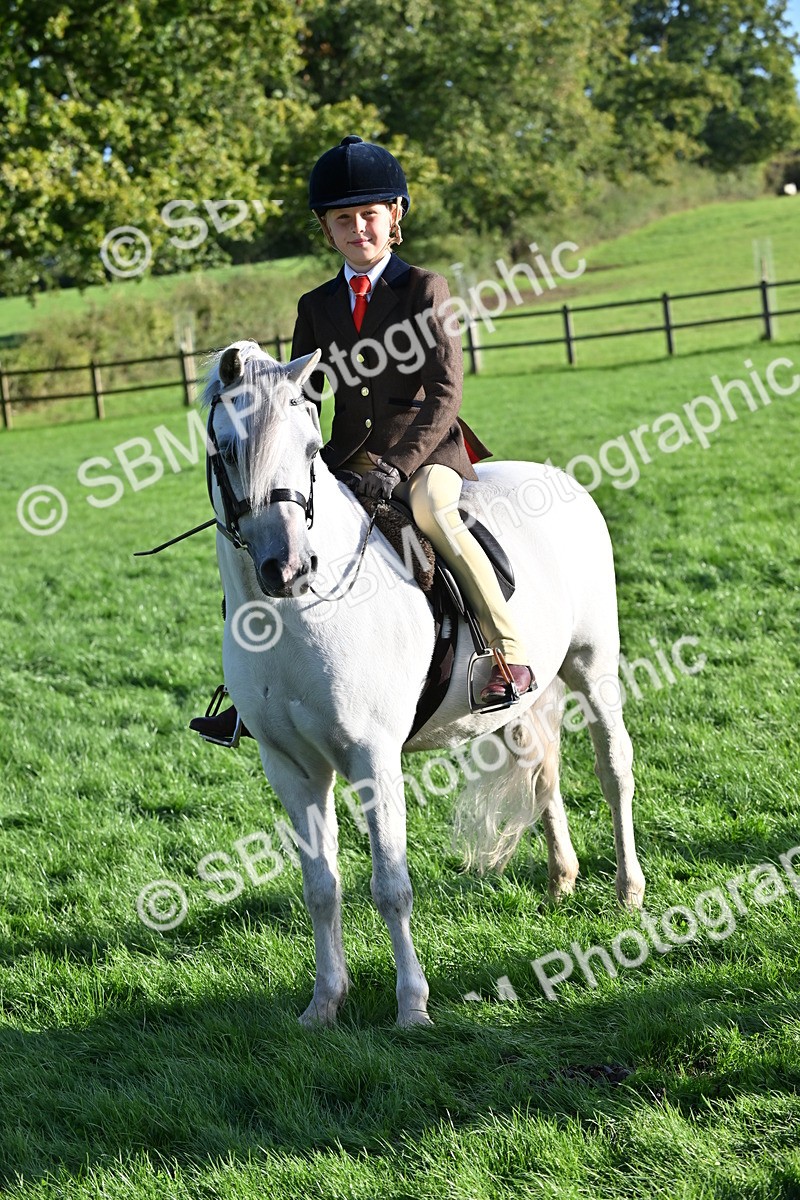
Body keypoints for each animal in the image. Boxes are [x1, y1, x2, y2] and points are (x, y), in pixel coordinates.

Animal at [202, 339, 645, 1028]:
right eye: (227, 450)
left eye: (310, 449)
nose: (289, 568)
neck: (290, 616)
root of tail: (562, 479)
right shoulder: (290, 767)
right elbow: (321, 888)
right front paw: (324, 1004)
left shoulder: (373, 757)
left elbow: (391, 885)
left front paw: (412, 1006)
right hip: (521, 697)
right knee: (543, 772)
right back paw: (561, 880)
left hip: (592, 665)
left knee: (613, 767)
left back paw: (627, 892)